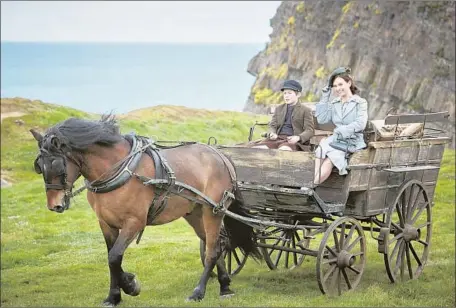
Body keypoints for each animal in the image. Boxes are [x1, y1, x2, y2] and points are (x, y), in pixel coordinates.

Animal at [29, 115, 260, 306]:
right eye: (39, 166)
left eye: (57, 165)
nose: (55, 205)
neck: (118, 169)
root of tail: (220, 155)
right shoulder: (106, 223)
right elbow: (111, 258)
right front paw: (114, 296)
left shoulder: (134, 222)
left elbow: (114, 257)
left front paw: (130, 285)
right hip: (195, 212)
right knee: (218, 244)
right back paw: (225, 286)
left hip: (213, 211)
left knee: (212, 250)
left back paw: (198, 292)